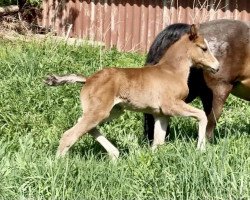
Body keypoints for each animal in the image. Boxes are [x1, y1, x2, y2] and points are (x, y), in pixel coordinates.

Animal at [45, 25, 219, 159]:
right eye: (204, 48)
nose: (217, 66)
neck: (171, 71)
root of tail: (88, 80)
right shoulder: (171, 105)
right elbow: (202, 115)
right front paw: (201, 149)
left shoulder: (161, 114)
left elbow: (158, 142)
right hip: (100, 111)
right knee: (69, 134)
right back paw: (58, 163)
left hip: (113, 111)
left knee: (87, 126)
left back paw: (115, 154)